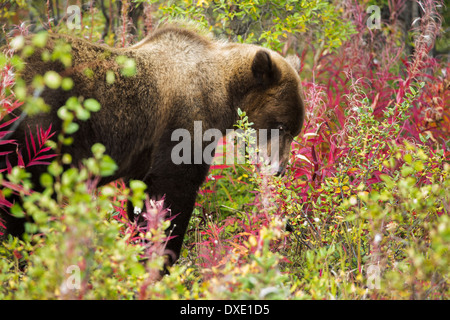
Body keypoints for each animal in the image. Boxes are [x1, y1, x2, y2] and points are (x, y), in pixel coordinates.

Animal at [0, 25, 304, 270]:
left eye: (295, 130)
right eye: (280, 126)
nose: (279, 169)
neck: (223, 94)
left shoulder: (144, 157)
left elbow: (142, 197)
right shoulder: (184, 123)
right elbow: (172, 190)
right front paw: (161, 258)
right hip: (45, 129)